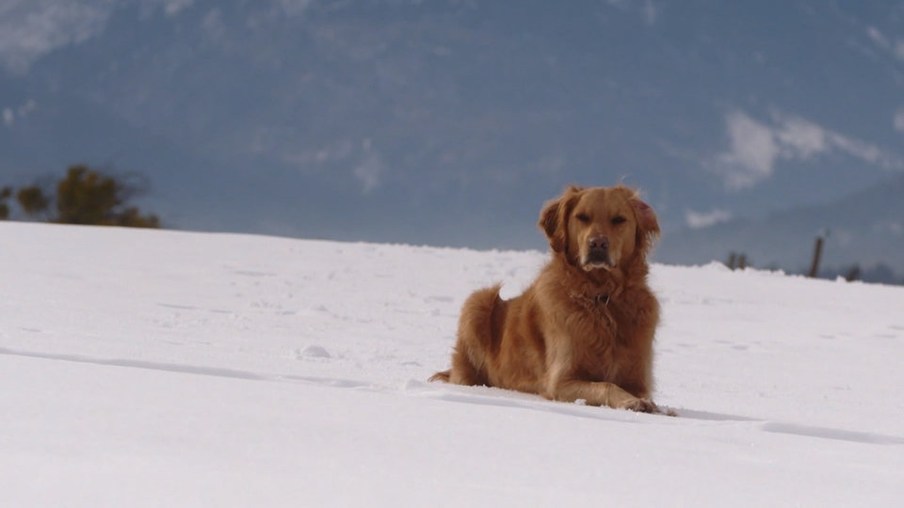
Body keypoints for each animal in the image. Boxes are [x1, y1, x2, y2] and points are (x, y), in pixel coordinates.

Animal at [430, 186, 664, 412]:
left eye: (618, 219)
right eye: (582, 217)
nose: (597, 243)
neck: (602, 297)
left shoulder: (637, 379)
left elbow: (637, 391)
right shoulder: (561, 381)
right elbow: (606, 385)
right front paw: (630, 402)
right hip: (477, 301)